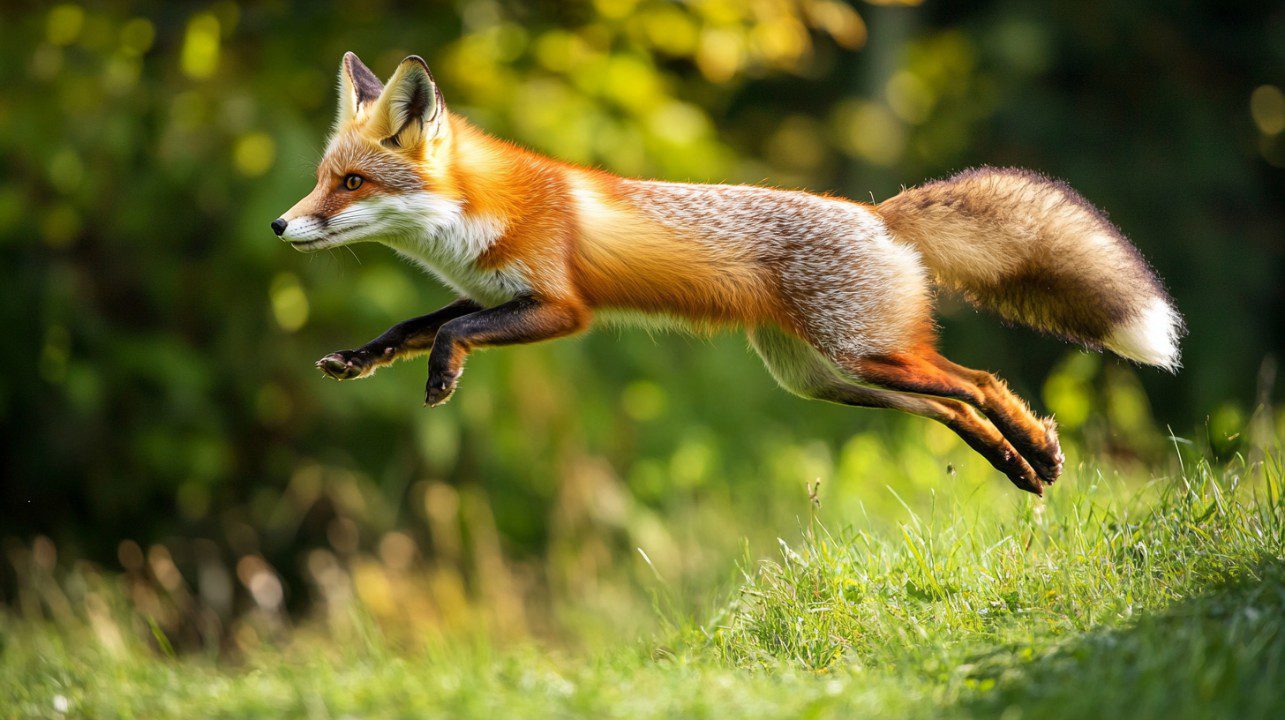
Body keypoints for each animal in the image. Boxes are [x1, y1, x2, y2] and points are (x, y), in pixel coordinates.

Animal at [274, 53, 1184, 495]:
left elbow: (452, 332)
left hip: (866, 357)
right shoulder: (496, 293)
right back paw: (1018, 468)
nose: (282, 224)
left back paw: (1038, 450)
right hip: (830, 382)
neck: (473, 216)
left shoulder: (562, 309)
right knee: (952, 407)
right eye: (324, 178)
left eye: (351, 183)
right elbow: (412, 324)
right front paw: (359, 359)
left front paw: (441, 379)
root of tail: (878, 213)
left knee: (982, 383)